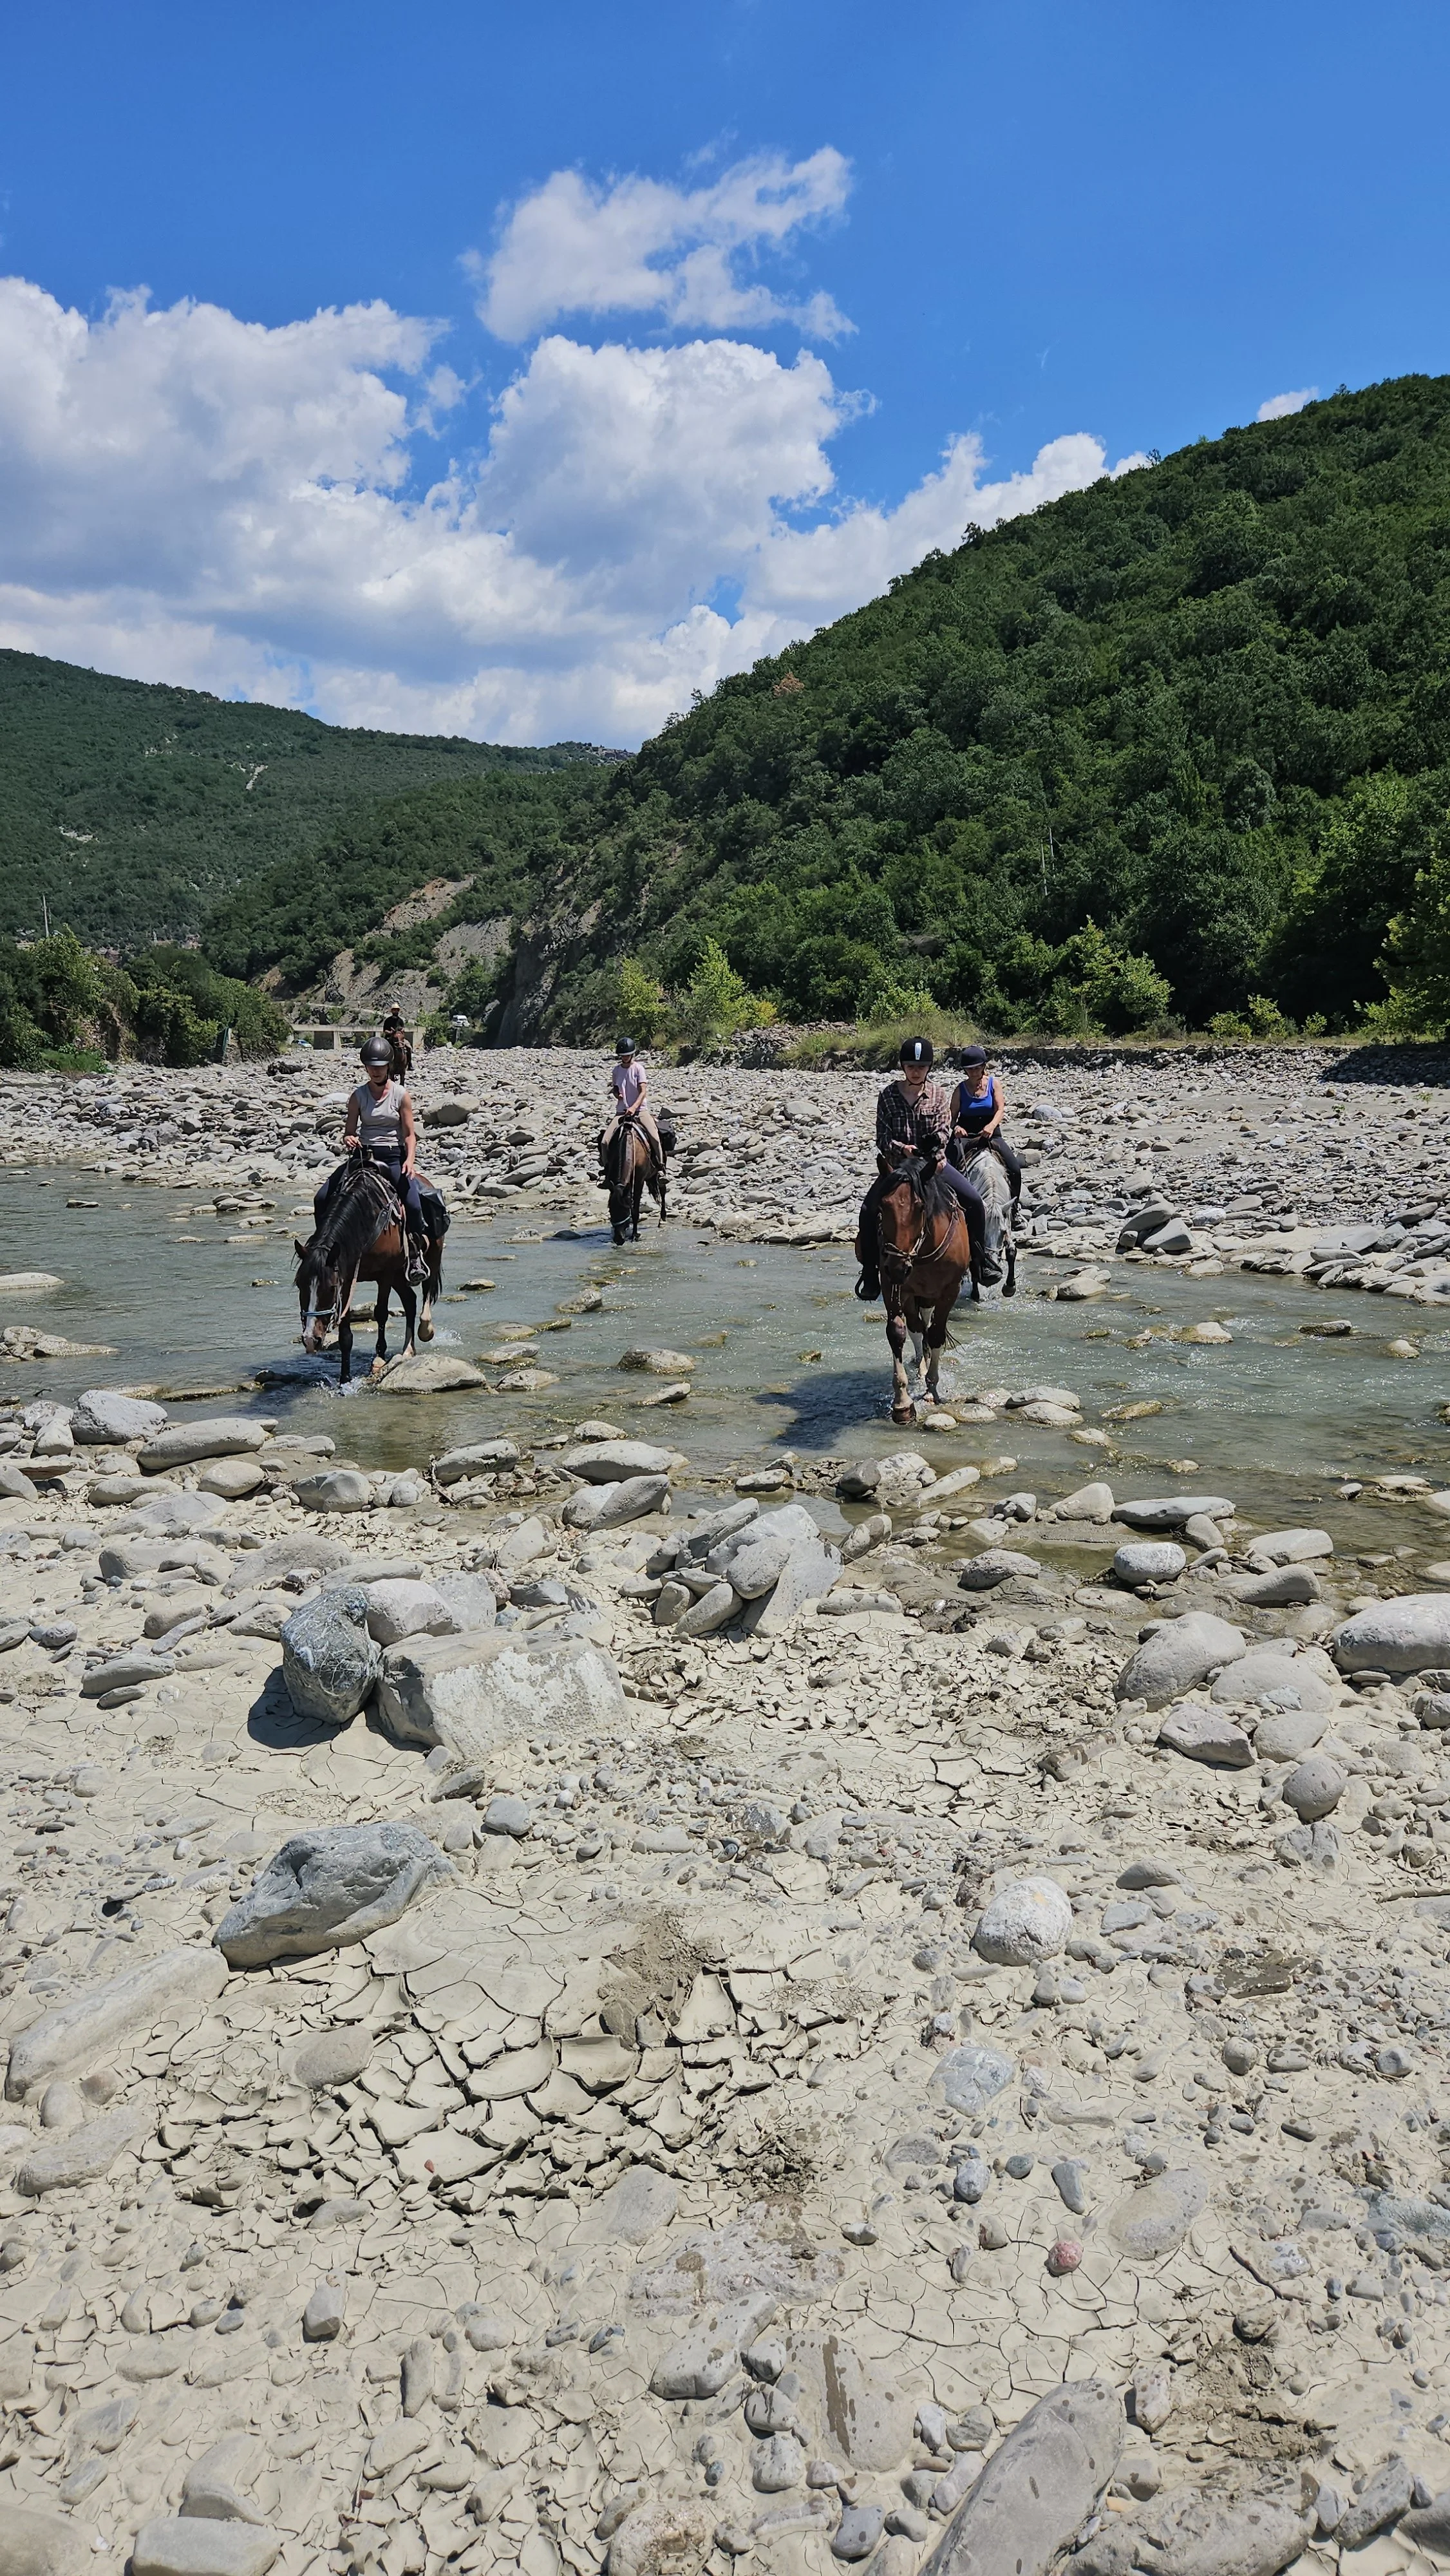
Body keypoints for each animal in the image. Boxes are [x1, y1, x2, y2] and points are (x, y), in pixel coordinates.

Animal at [294, 1155, 443, 1384]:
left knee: (427, 1290)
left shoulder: (385, 1274)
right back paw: (408, 1350)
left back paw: (425, 1330)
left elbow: (381, 1313)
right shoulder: (347, 1278)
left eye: (330, 1287)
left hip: (430, 1257)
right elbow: (345, 1332)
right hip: (399, 1274)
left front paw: (379, 1359)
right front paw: (344, 1378)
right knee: (410, 1300)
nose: (311, 1340)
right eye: (299, 1285)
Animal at [606, 1112, 667, 1246]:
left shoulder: (639, 1181)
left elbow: (635, 1210)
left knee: (663, 1190)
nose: (618, 1240)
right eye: (611, 1210)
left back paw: (663, 1219)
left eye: (625, 1211)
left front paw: (635, 1235)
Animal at [875, 1146, 977, 1423]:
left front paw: (932, 1390)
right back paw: (921, 1364)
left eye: (920, 1207)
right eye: (883, 1205)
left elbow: (937, 1334)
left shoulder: (949, 1291)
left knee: (927, 1326)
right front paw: (902, 1404)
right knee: (916, 1327)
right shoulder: (893, 1288)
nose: (897, 1267)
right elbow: (897, 1332)